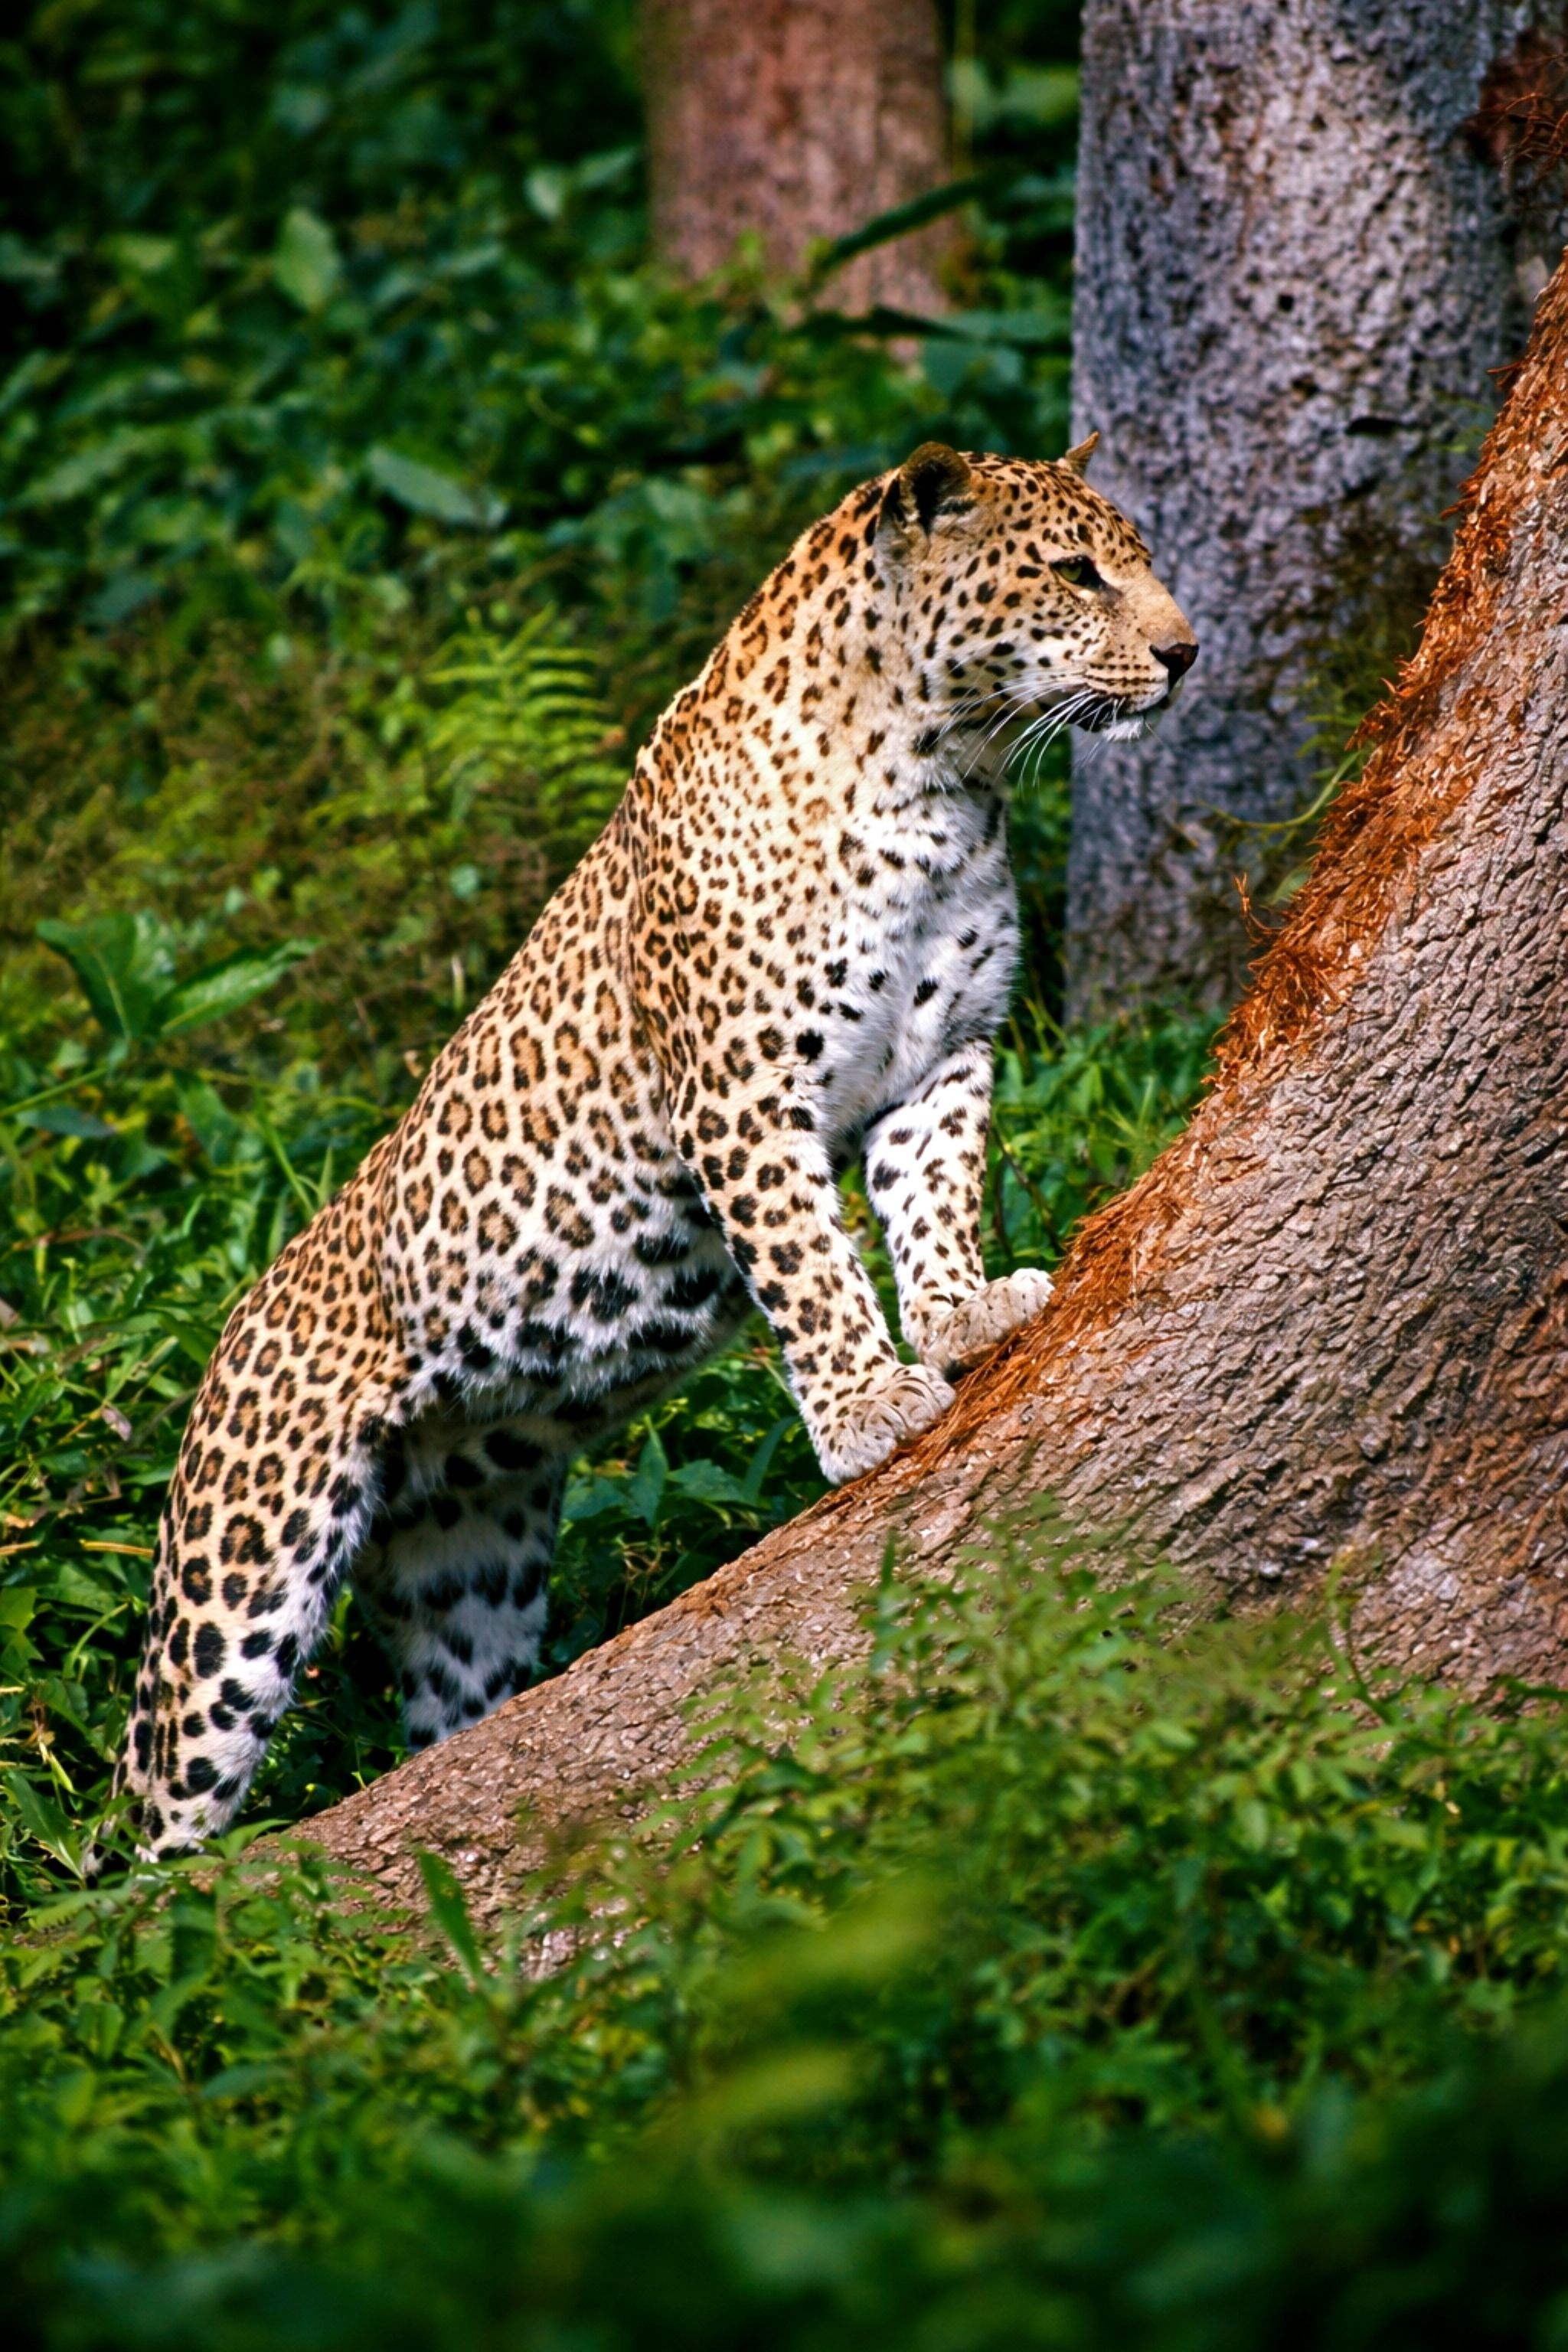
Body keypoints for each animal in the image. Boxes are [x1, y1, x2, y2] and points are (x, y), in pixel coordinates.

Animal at [110, 437, 1197, 1857]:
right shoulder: (740, 1093)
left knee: (448, 1710)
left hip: (472, 1561)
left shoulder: (944, 1057)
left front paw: (963, 1314)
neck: (940, 780)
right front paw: (866, 1406)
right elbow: (810, 1265)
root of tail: (230, 1332)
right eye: (1075, 572)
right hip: (243, 1575)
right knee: (151, 1805)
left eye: (1137, 561)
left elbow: (934, 1201)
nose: (1186, 652)